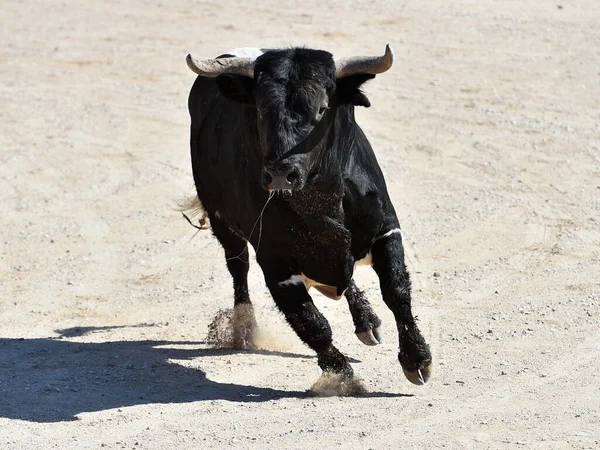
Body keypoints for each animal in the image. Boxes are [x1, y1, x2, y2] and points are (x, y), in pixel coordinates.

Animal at [186, 46, 432, 386]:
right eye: (260, 110)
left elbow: (396, 290)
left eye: (322, 108)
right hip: (221, 222)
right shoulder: (276, 264)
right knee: (238, 268)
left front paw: (417, 359)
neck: (321, 202)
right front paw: (341, 377)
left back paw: (367, 320)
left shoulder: (386, 229)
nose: (280, 174)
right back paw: (244, 329)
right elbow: (311, 322)